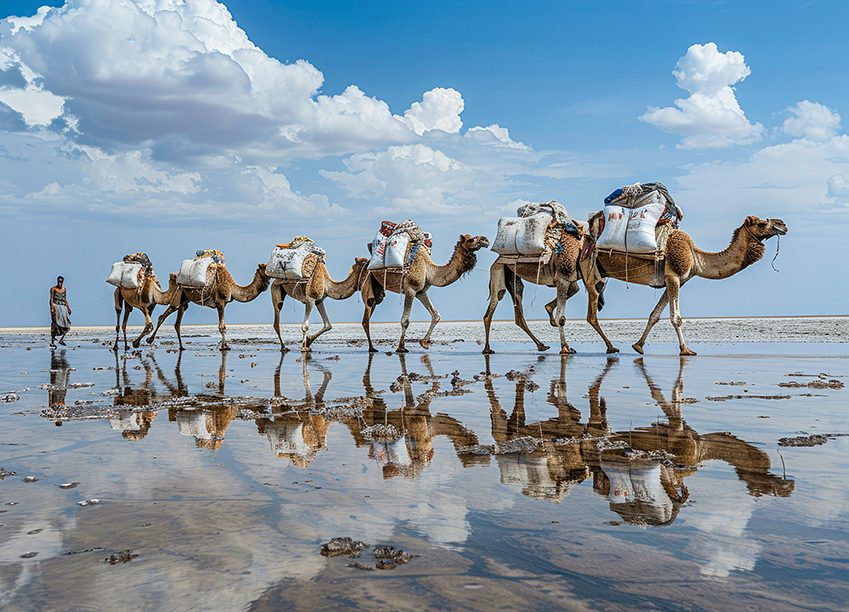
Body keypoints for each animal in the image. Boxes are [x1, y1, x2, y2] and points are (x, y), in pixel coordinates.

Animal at [360, 234, 490, 354]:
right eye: (471, 239)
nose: (486, 240)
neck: (429, 270)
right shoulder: (410, 289)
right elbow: (405, 320)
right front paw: (401, 348)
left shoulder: (421, 292)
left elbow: (435, 315)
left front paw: (424, 343)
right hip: (367, 280)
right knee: (366, 317)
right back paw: (372, 348)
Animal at [580, 218, 784, 356]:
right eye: (761, 223)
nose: (782, 224)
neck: (695, 258)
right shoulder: (673, 277)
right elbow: (676, 318)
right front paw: (686, 350)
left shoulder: (676, 281)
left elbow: (655, 315)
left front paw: (638, 346)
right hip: (590, 273)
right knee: (591, 315)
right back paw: (610, 347)